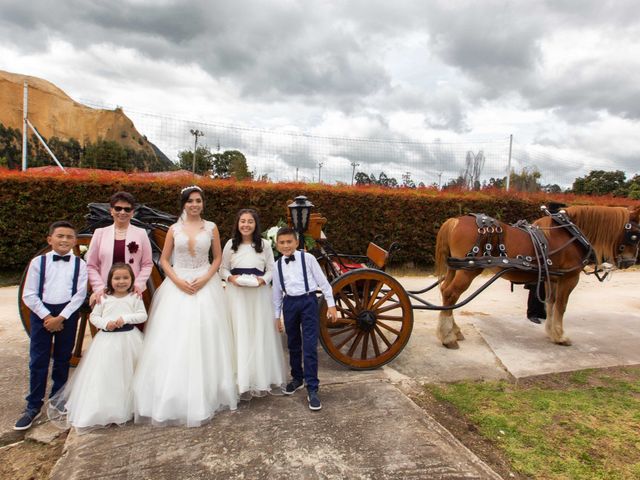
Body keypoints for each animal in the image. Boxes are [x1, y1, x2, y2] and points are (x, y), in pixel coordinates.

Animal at [436, 204, 640, 346]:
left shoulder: (553, 278)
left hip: (455, 267)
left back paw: (454, 330)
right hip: (468, 270)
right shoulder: (570, 278)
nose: (630, 261)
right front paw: (561, 336)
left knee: (445, 291)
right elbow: (561, 306)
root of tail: (456, 220)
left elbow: (550, 304)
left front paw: (551, 332)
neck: (571, 234)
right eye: (635, 234)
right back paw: (447, 337)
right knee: (451, 294)